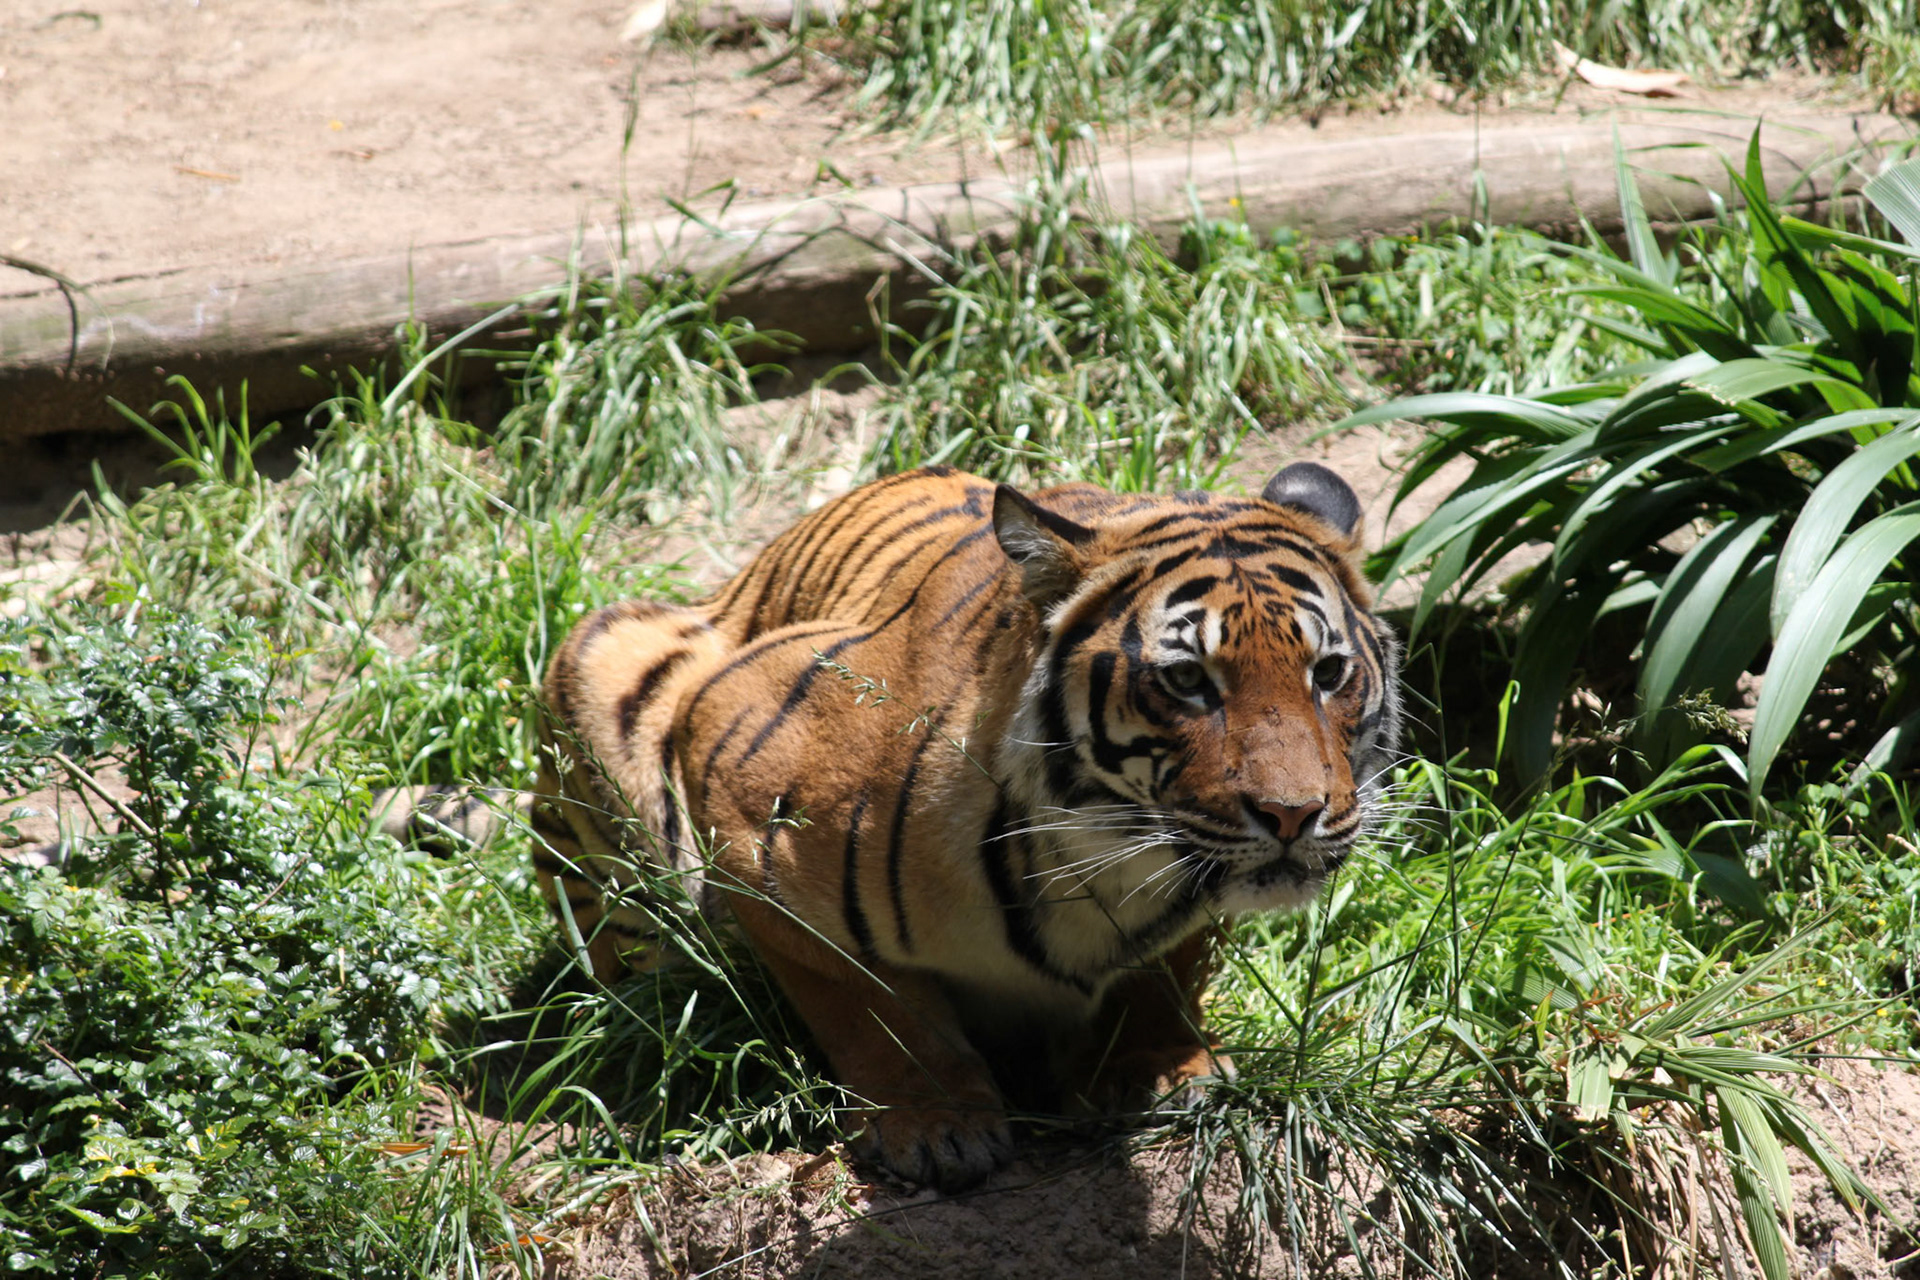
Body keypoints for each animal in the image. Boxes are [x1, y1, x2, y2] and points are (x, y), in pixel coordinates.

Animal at [531, 462, 1401, 1191]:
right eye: (1187, 680)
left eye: (1328, 673)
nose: (1294, 814)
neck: (1110, 856)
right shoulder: (743, 796)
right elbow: (872, 1007)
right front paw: (935, 1123)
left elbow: (1166, 967)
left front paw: (1158, 1066)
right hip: (605, 664)